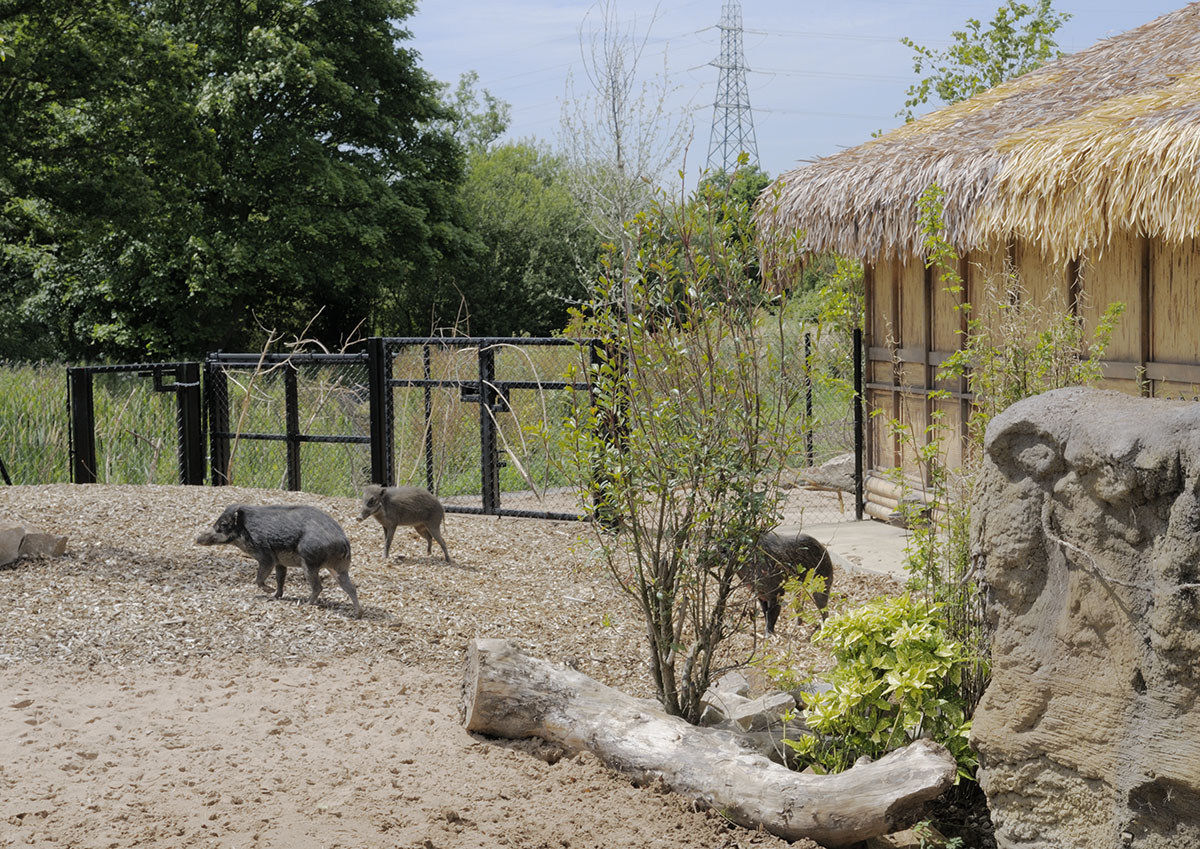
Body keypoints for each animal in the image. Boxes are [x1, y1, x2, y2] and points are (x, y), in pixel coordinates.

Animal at [196, 504, 362, 618]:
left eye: (223, 525)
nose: (198, 539)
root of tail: (343, 541)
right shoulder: (280, 562)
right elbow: (280, 578)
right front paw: (275, 596)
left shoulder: (266, 555)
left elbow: (259, 578)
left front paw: (269, 592)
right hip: (339, 568)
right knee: (351, 587)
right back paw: (357, 614)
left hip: (309, 563)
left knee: (318, 586)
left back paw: (306, 603)